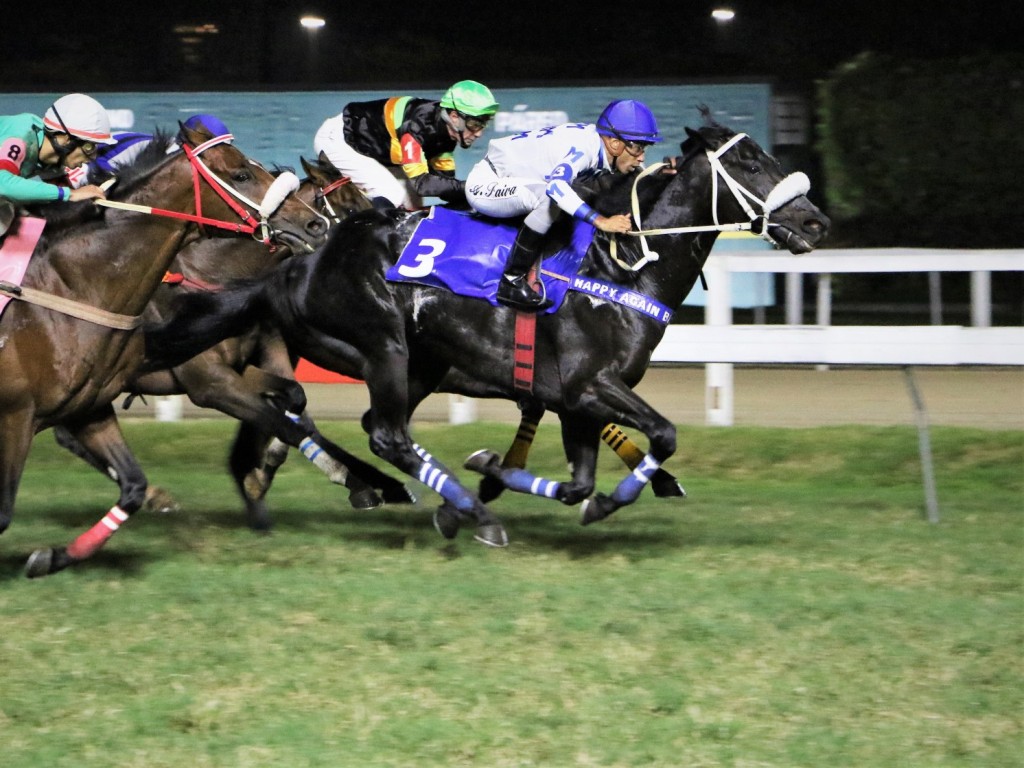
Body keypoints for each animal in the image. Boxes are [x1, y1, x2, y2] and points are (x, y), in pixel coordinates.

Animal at [52, 152, 411, 532]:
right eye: (351, 204)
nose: (392, 247)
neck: (213, 278)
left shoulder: (251, 359)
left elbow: (294, 402)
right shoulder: (209, 382)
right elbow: (282, 418)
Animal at [144, 115, 831, 548]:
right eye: (747, 161)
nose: (815, 222)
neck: (618, 262)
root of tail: (303, 261)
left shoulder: (572, 400)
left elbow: (577, 479)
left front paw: (498, 470)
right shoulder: (590, 385)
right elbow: (662, 434)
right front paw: (558, 491)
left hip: (415, 365)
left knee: (359, 426)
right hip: (384, 346)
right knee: (381, 433)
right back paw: (456, 510)